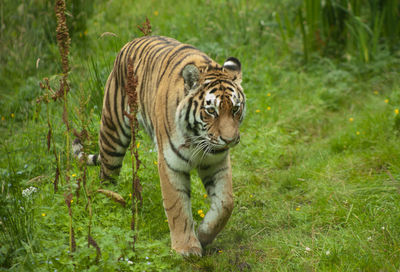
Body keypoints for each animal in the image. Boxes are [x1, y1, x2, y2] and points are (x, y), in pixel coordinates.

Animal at [73, 35, 245, 256]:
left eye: (235, 109)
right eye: (211, 111)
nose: (229, 140)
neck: (197, 138)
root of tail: (130, 42)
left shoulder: (216, 162)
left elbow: (225, 203)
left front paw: (204, 234)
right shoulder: (170, 164)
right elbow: (177, 207)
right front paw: (186, 248)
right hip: (113, 132)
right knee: (106, 175)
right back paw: (109, 202)